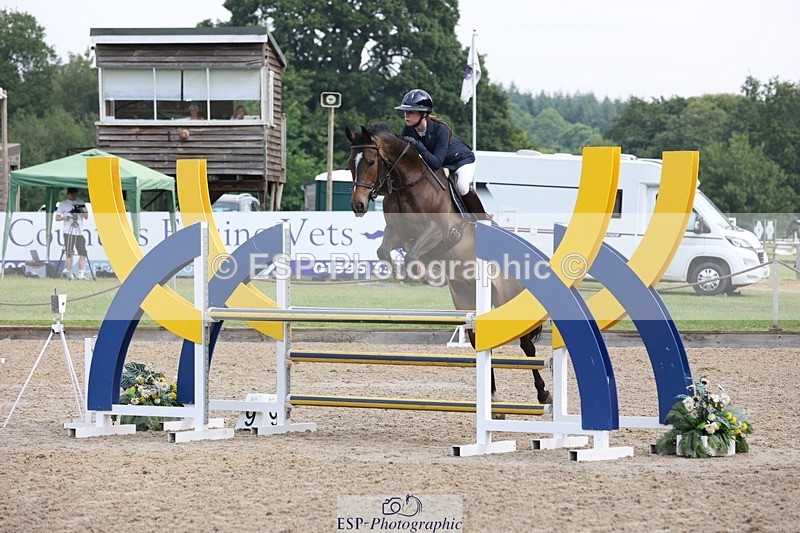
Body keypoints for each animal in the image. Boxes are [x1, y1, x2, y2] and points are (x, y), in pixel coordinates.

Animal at [345, 122, 552, 405]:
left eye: (370, 161)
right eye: (349, 163)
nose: (358, 205)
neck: (407, 185)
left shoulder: (439, 231)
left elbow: (412, 254)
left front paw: (420, 272)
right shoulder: (397, 232)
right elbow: (384, 250)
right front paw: (404, 272)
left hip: (508, 298)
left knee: (527, 345)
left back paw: (543, 393)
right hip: (469, 301)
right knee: (483, 341)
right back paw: (493, 398)